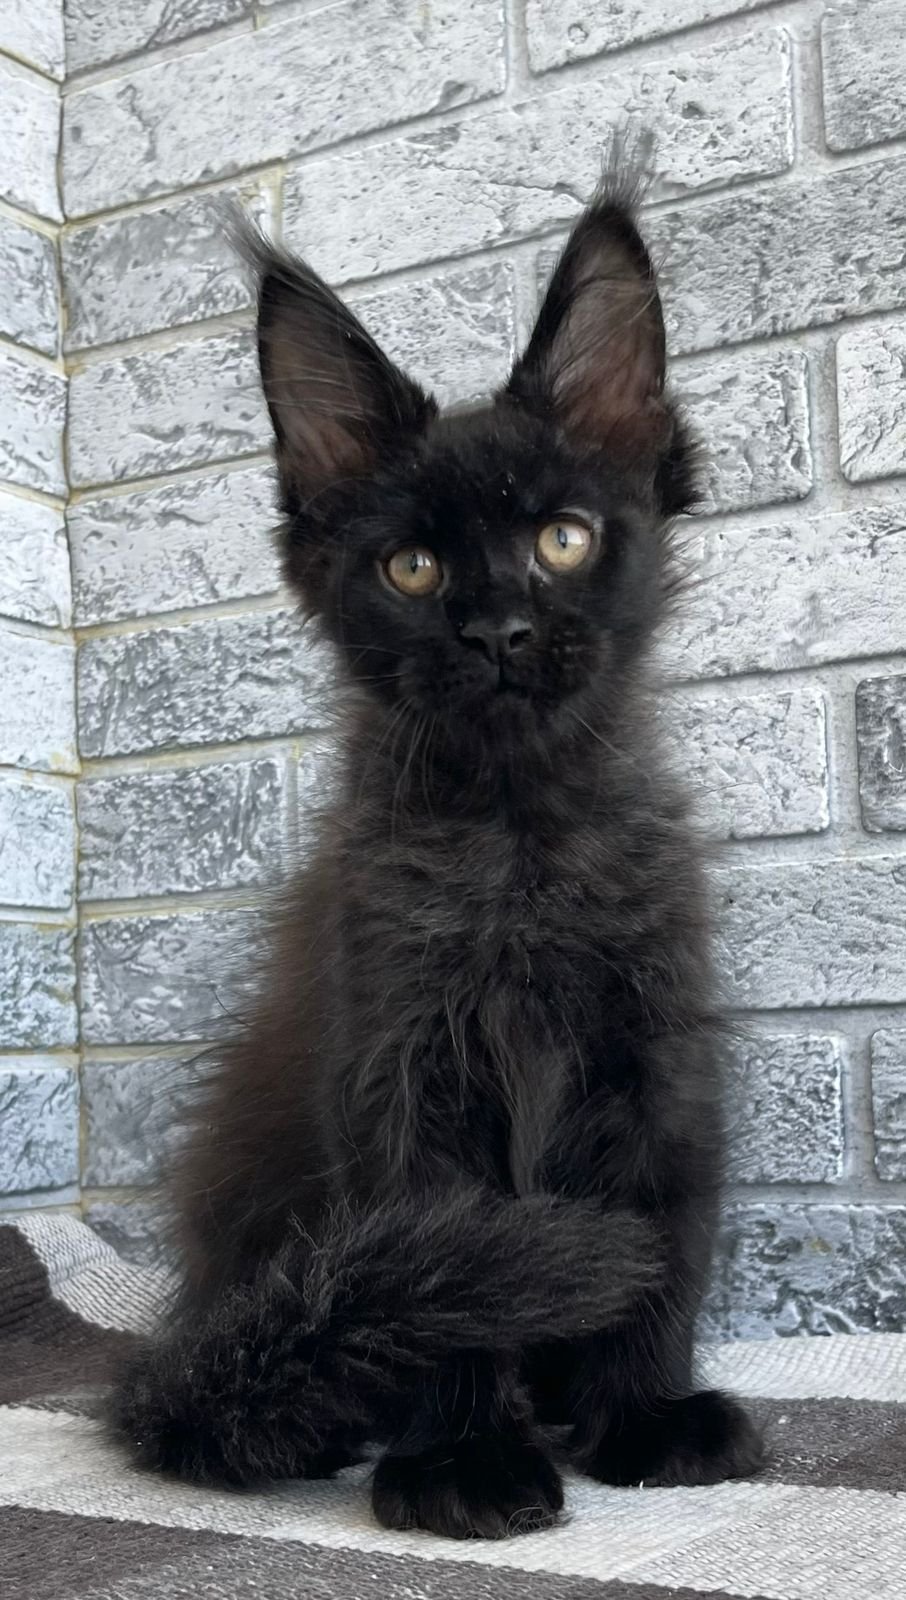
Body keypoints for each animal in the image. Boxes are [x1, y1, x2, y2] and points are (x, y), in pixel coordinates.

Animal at [112, 155, 764, 1539]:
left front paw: (642, 1415)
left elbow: (656, 1243)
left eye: (565, 537)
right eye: (410, 567)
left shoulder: (656, 1051)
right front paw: (465, 1458)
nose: (500, 630)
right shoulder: (406, 1058)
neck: (520, 845)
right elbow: (447, 1268)